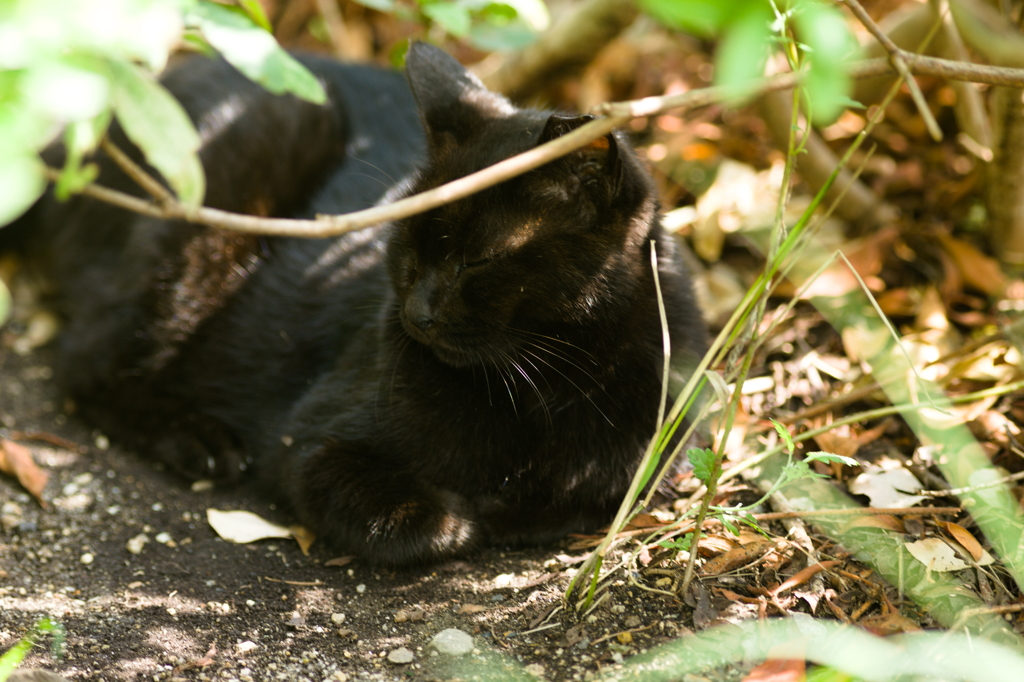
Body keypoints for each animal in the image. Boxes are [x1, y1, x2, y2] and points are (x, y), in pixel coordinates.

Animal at [6, 42, 704, 561]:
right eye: (407, 241)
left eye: (476, 260)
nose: (418, 313)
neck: (544, 384)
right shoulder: (308, 447)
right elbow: (431, 522)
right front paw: (471, 513)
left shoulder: (648, 460)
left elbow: (578, 499)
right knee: (83, 361)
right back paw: (196, 438)